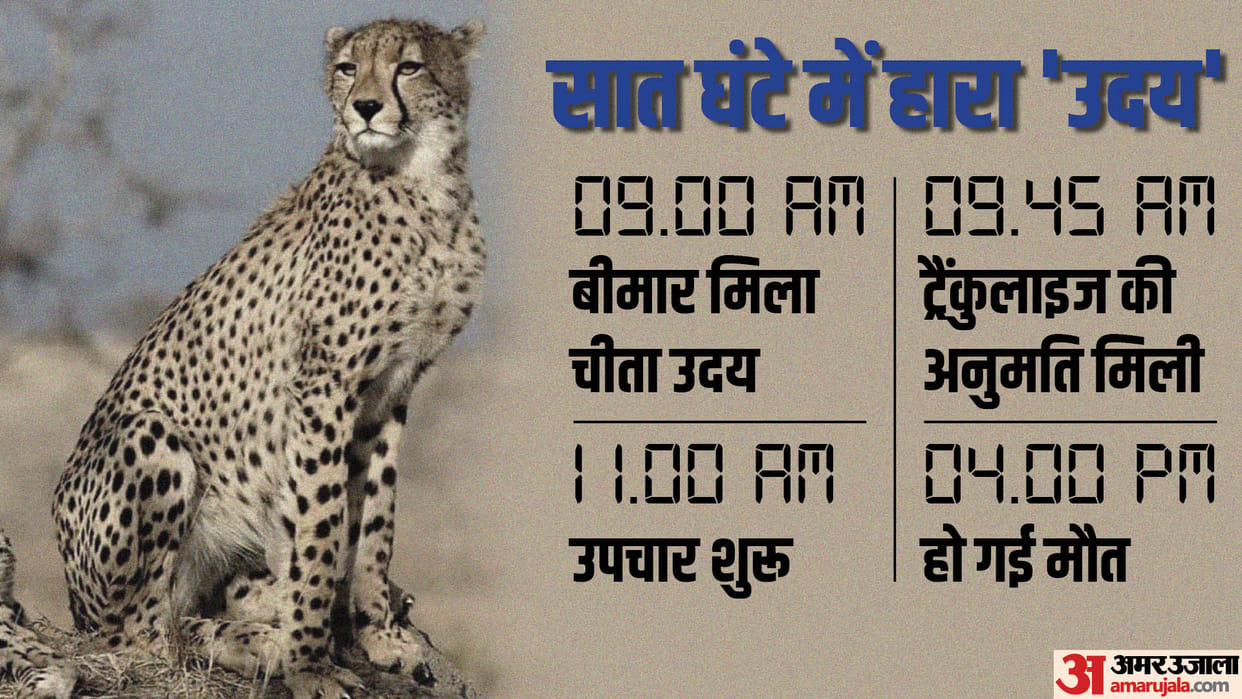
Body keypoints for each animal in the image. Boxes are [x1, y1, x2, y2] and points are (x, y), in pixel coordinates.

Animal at [4, 17, 487, 699]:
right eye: (347, 67)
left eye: (410, 67)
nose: (365, 107)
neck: (423, 181)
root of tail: (75, 603)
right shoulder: (324, 384)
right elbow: (321, 525)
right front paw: (311, 663)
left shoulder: (392, 387)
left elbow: (375, 521)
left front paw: (380, 634)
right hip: (152, 440)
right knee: (148, 640)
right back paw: (265, 642)